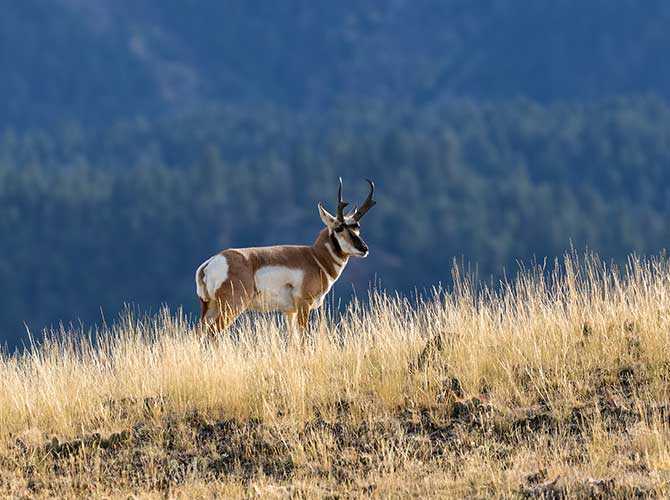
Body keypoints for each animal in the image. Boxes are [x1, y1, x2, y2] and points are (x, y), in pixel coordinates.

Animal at [195, 178, 377, 334]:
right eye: (339, 228)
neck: (315, 258)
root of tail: (211, 263)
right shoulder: (304, 305)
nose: (364, 249)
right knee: (212, 333)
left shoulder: (289, 312)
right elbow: (303, 338)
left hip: (209, 308)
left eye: (357, 226)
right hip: (232, 307)